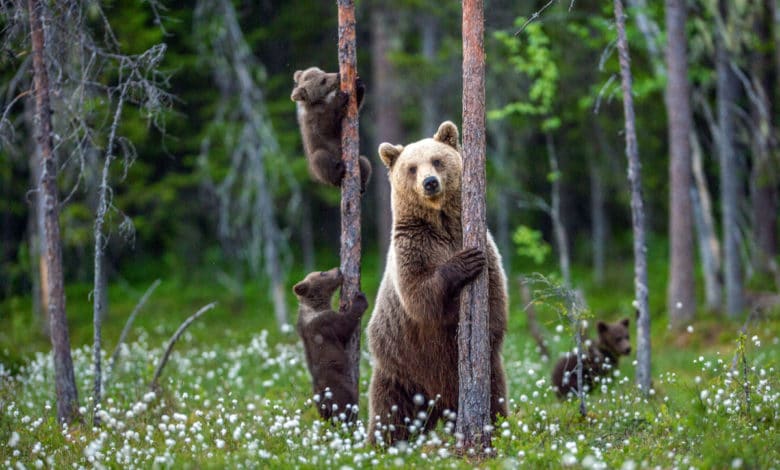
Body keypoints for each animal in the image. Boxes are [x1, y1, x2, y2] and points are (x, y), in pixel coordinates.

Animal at [293, 268, 369, 422]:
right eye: (322, 273)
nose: (338, 270)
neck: (316, 306)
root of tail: (325, 401)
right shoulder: (325, 323)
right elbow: (345, 326)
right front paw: (360, 299)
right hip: (339, 388)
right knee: (346, 405)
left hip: (319, 403)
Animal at [366, 121, 509, 445]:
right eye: (411, 167)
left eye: (437, 160)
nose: (430, 182)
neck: (441, 222)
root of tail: (439, 403)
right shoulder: (413, 247)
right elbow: (420, 296)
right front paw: (464, 262)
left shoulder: (483, 245)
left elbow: (495, 299)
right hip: (400, 369)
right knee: (389, 414)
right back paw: (380, 445)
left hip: (484, 374)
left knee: (495, 398)